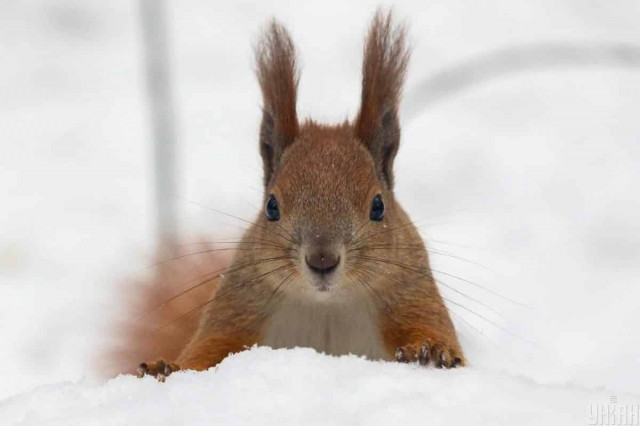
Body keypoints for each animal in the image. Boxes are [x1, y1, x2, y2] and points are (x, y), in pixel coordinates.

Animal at [116, 11, 464, 382]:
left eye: (378, 206)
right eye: (271, 207)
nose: (322, 260)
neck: (328, 305)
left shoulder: (410, 294)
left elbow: (431, 329)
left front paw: (431, 351)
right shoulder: (240, 306)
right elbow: (208, 349)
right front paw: (167, 367)